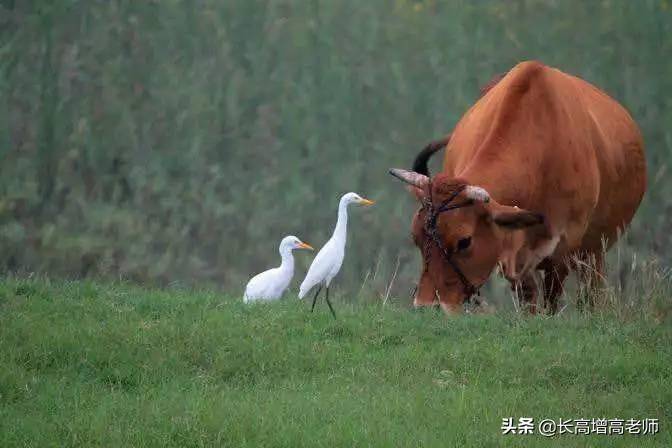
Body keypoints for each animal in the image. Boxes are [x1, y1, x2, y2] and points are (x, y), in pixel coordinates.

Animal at [388, 60, 644, 316]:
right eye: (415, 237)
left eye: (464, 241)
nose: (426, 307)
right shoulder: (512, 257)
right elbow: (529, 298)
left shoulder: (564, 248)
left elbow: (552, 299)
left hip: (595, 251)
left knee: (591, 291)